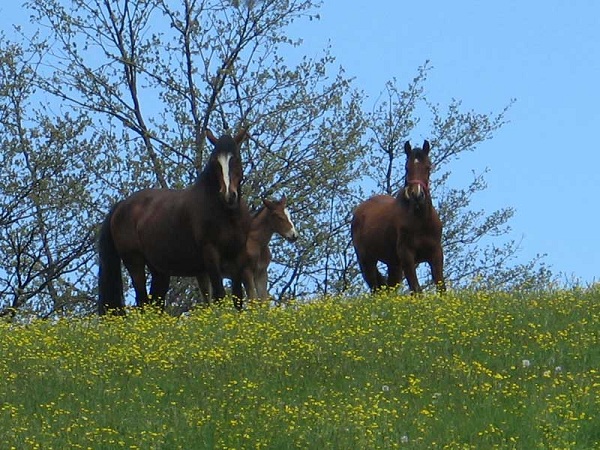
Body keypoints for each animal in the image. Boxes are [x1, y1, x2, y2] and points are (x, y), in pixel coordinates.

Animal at [98, 128, 251, 314]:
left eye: (236, 158)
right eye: (216, 162)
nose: (229, 195)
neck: (227, 214)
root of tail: (121, 206)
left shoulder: (238, 255)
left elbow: (238, 298)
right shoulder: (211, 254)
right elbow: (220, 295)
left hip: (159, 270)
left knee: (155, 303)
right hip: (135, 263)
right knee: (142, 301)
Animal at [352, 140, 446, 292]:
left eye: (428, 167)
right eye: (407, 168)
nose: (417, 195)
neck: (421, 221)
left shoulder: (436, 253)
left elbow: (441, 288)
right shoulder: (407, 256)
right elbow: (416, 290)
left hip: (393, 264)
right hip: (367, 261)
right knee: (375, 288)